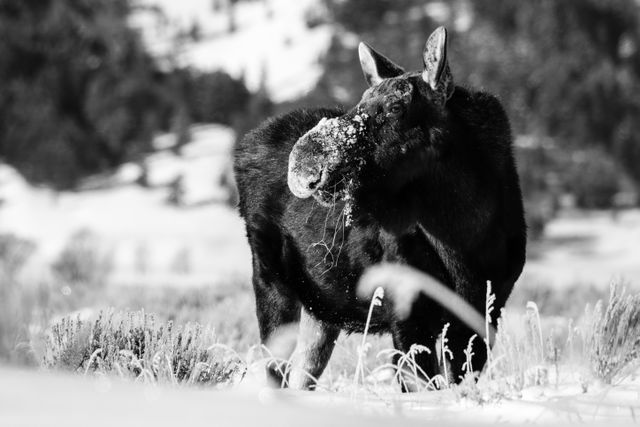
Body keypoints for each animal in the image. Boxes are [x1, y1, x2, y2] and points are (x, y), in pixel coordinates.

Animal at [234, 26, 524, 392]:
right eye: (360, 101)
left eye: (397, 106)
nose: (303, 163)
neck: (467, 239)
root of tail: (243, 148)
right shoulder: (407, 310)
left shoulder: (485, 311)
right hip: (271, 280)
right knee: (275, 372)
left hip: (320, 309)